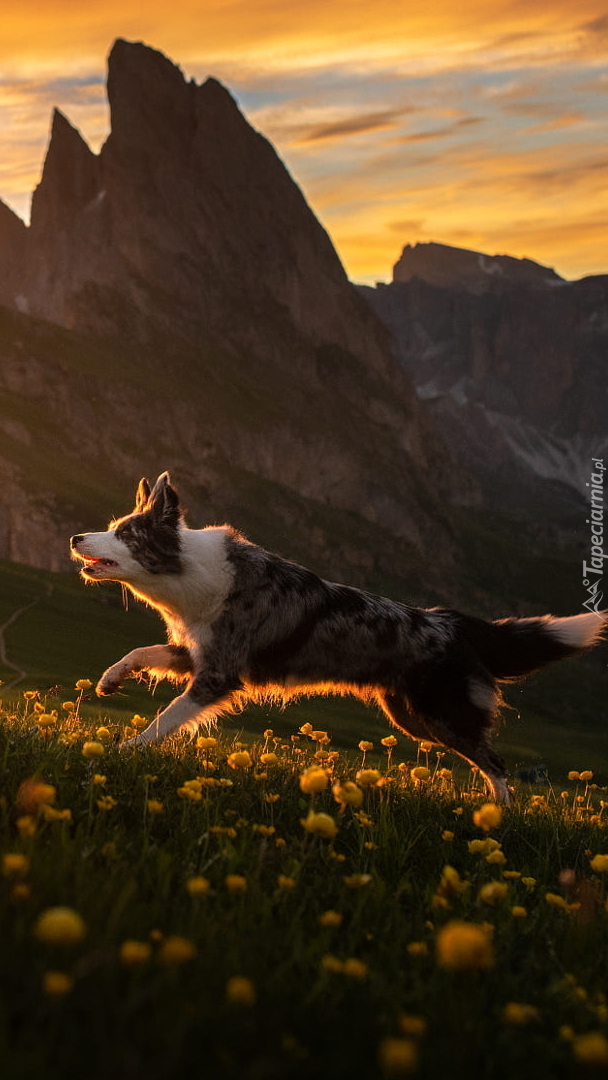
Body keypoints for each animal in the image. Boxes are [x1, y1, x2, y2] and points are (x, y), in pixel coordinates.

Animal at [70, 475, 604, 803]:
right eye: (114, 528)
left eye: (126, 534)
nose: (76, 537)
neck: (190, 573)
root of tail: (450, 622)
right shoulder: (198, 652)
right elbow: (140, 651)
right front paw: (109, 681)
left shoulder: (218, 675)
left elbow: (165, 720)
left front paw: (125, 751)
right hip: (411, 717)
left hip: (443, 714)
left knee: (496, 762)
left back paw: (499, 817)